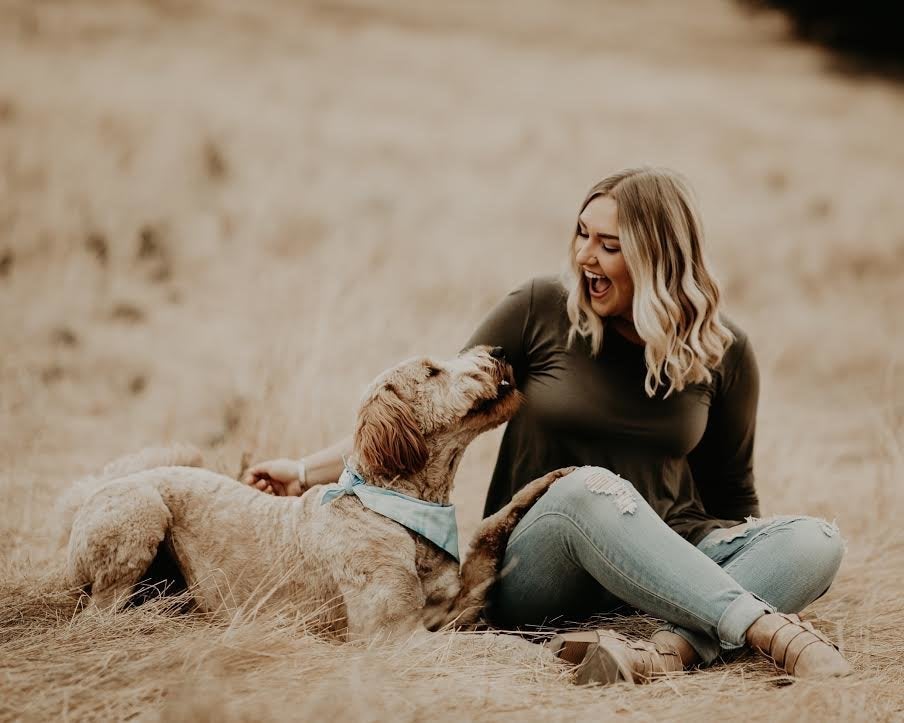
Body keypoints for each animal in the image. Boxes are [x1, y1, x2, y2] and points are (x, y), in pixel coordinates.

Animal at [63, 348, 576, 640]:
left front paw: (552, 480)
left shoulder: (452, 607)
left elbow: (489, 530)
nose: (497, 354)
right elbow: (493, 646)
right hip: (142, 510)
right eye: (433, 371)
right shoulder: (391, 635)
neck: (399, 507)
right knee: (97, 614)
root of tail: (92, 491)